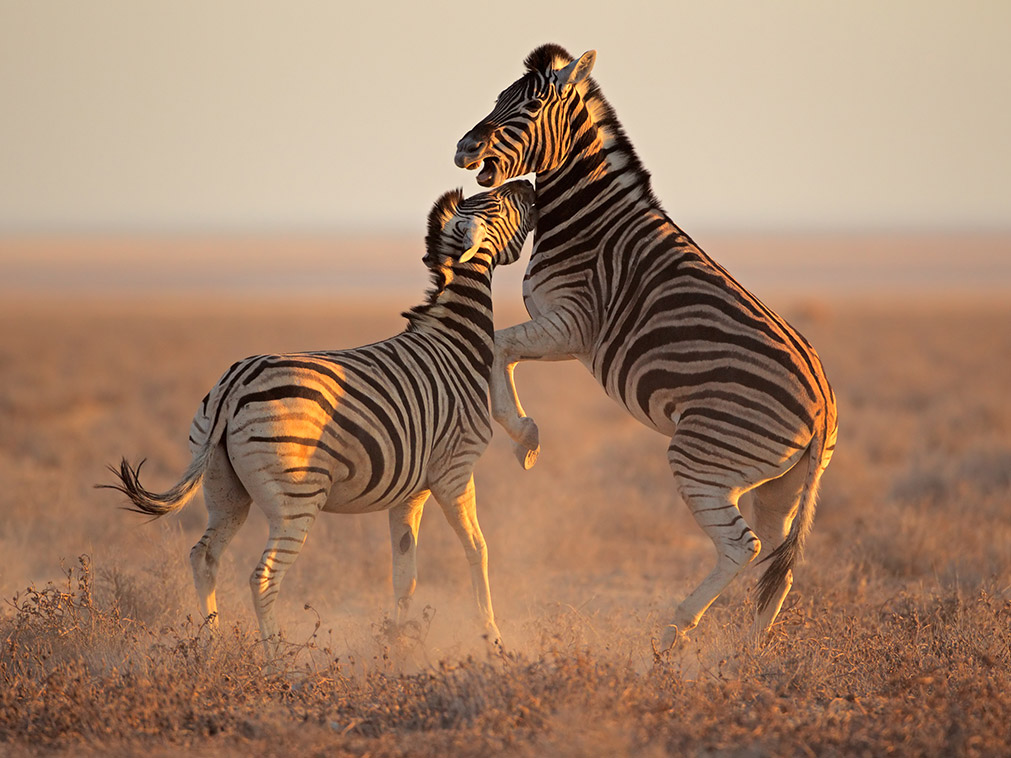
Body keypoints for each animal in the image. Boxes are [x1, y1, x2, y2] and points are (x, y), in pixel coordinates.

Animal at [104, 179, 537, 658]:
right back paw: (278, 661)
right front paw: (493, 640)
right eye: (498, 202)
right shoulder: (455, 472)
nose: (528, 185)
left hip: (223, 488)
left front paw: (397, 644)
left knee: (205, 557)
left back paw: (212, 646)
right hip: (297, 499)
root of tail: (233, 386)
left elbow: (404, 573)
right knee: (262, 577)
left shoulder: (410, 491)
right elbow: (477, 550)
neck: (455, 342)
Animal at [456, 42, 837, 646]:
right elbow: (502, 350)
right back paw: (746, 655)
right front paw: (525, 436)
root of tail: (823, 403)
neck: (588, 219)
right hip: (781, 484)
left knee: (743, 547)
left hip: (702, 456)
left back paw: (675, 631)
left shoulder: (573, 324)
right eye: (499, 99)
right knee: (777, 563)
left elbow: (498, 346)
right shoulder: (563, 329)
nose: (464, 148)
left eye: (530, 107)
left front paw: (525, 437)